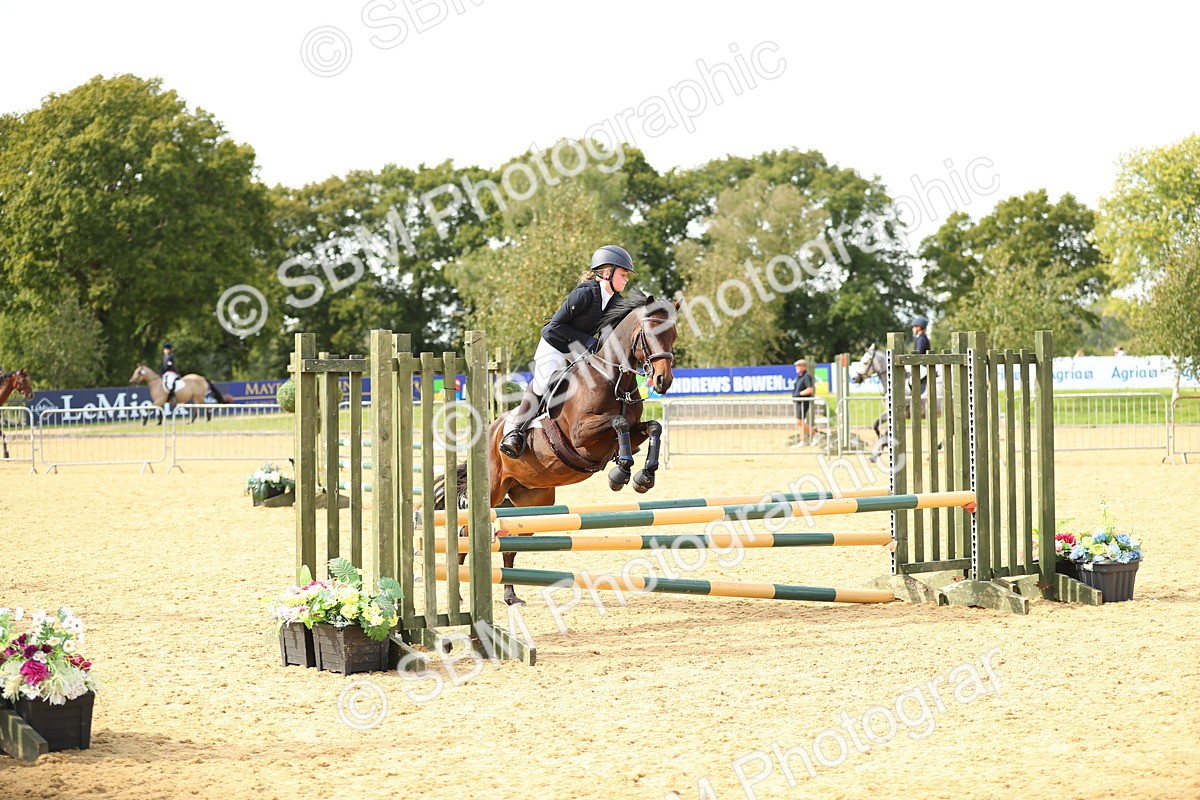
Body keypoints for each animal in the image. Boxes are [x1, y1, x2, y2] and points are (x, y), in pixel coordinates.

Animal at [436, 291, 679, 605]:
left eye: (673, 335)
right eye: (650, 333)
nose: (663, 381)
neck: (613, 378)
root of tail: (490, 430)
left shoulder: (632, 431)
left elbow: (653, 427)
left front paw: (643, 477)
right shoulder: (581, 435)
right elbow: (619, 421)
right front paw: (621, 473)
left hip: (533, 503)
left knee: (510, 544)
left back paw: (511, 594)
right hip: (492, 490)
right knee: (466, 532)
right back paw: (458, 596)